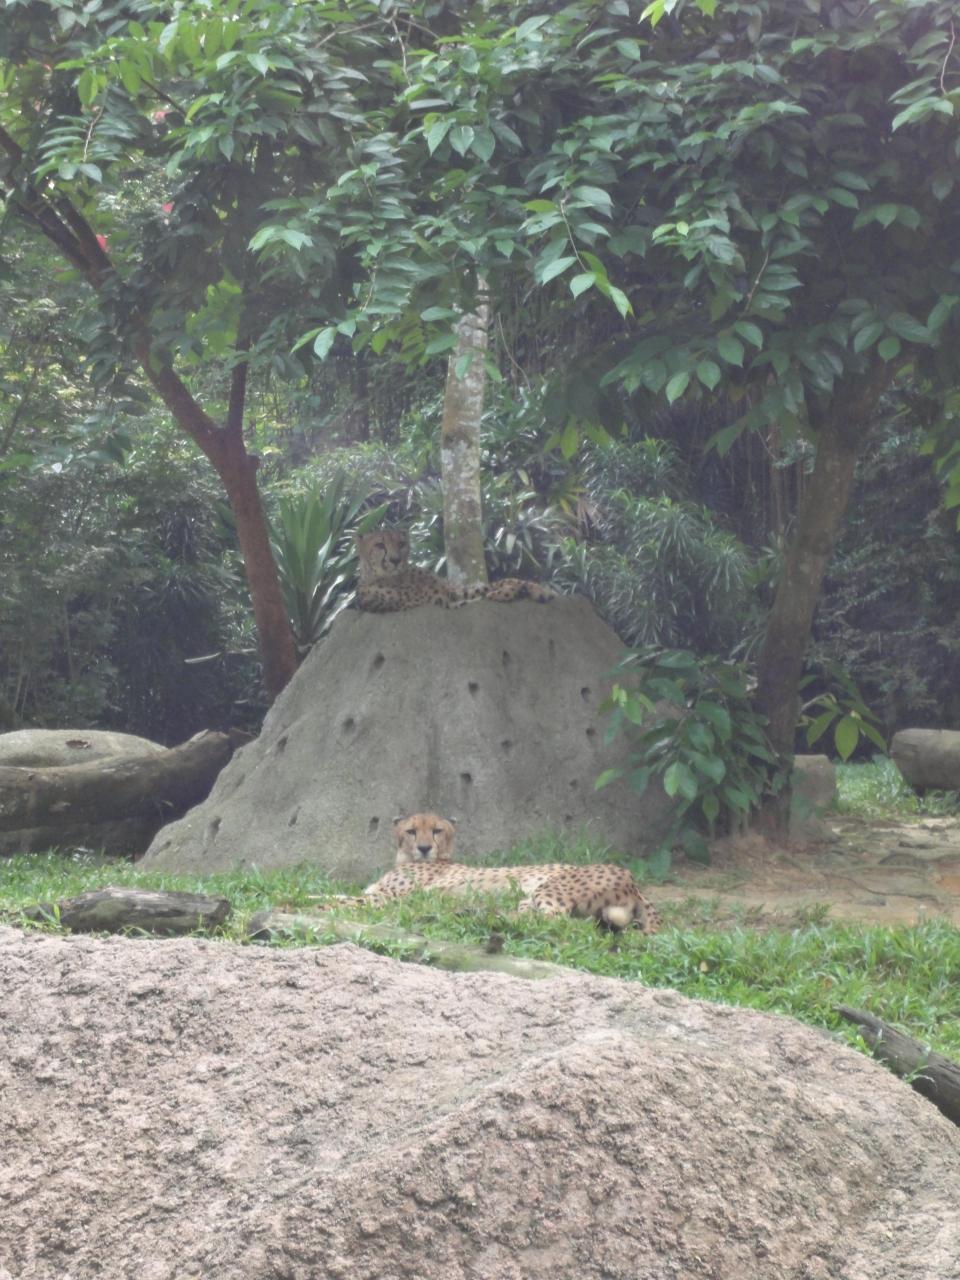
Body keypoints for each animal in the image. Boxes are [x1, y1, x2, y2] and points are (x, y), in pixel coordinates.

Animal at [355, 529, 555, 613]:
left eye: (401, 544)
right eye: (379, 545)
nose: (395, 560)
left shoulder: (450, 590)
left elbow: (498, 583)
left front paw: (539, 589)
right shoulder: (442, 599)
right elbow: (481, 593)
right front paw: (510, 592)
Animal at [361, 812, 661, 934]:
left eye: (437, 830)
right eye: (411, 831)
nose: (424, 848)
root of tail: (633, 881)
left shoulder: (391, 896)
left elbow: (353, 899)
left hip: (550, 889)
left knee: (554, 921)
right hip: (530, 898)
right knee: (531, 918)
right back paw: (471, 914)